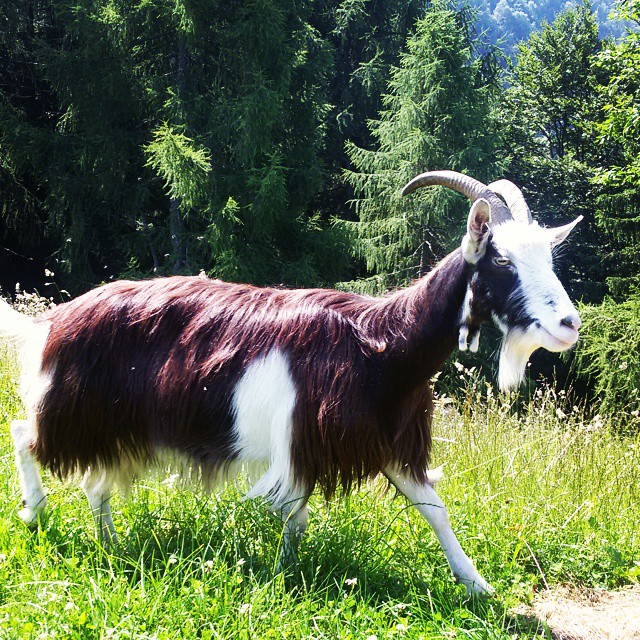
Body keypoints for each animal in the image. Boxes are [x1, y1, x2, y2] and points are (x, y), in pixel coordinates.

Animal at [0, 171, 582, 596]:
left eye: (547, 256)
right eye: (501, 259)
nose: (569, 325)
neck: (381, 344)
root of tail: (50, 323)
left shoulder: (384, 441)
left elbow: (435, 512)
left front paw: (480, 587)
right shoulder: (304, 440)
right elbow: (296, 516)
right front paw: (285, 579)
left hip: (119, 426)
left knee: (96, 484)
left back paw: (111, 544)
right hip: (71, 407)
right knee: (23, 434)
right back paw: (35, 512)